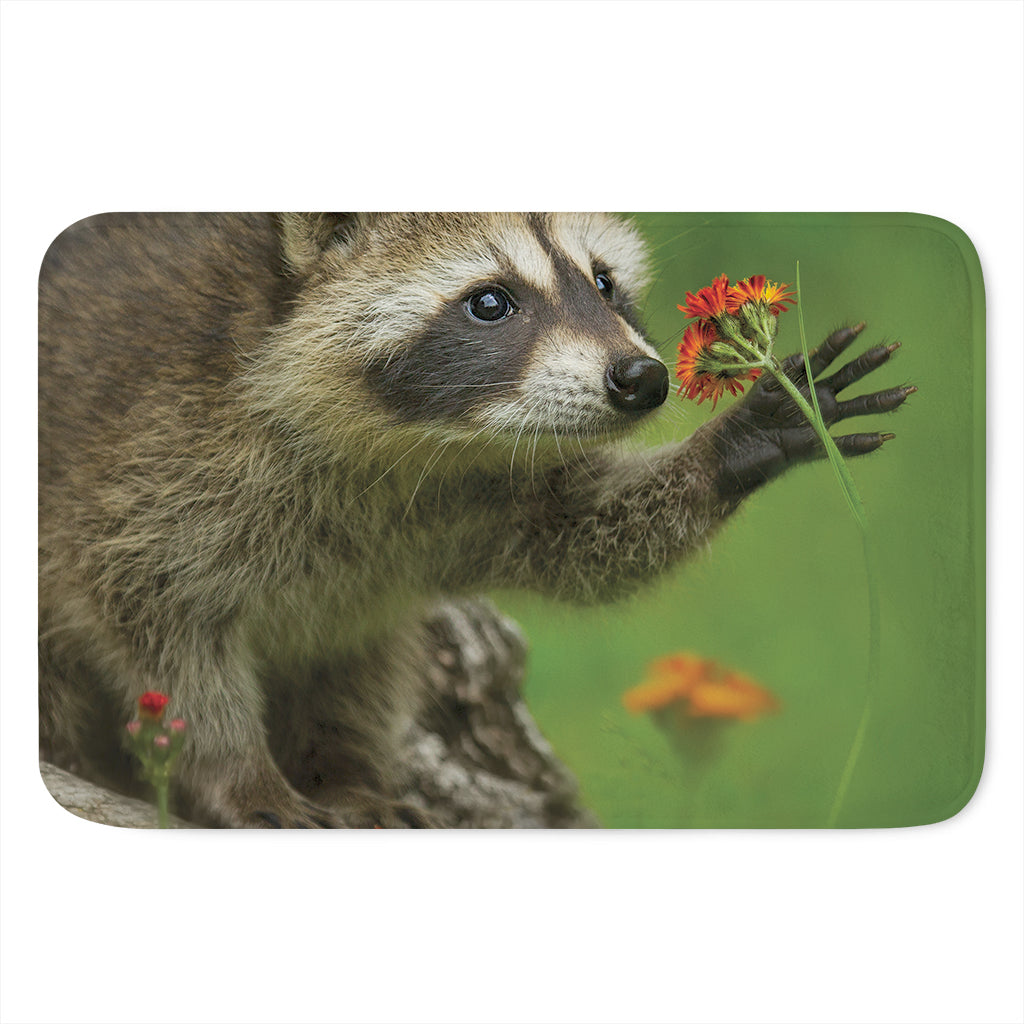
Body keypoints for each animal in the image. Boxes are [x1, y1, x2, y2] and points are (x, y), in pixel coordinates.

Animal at [38, 212, 911, 827]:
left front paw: (732, 445)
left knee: (360, 657)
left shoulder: (475, 494)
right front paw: (237, 770)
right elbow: (162, 630)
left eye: (603, 283)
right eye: (489, 302)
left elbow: (581, 535)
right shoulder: (148, 465)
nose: (642, 378)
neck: (408, 446)